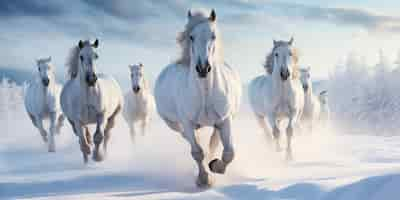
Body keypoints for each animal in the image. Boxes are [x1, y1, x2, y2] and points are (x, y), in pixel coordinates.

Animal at [154, 9, 241, 188]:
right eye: (191, 37)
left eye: (213, 36)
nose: (202, 68)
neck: (205, 94)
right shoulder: (187, 123)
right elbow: (197, 153)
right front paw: (203, 179)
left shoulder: (225, 120)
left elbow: (229, 153)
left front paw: (215, 166)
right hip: (174, 124)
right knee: (188, 137)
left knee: (214, 141)